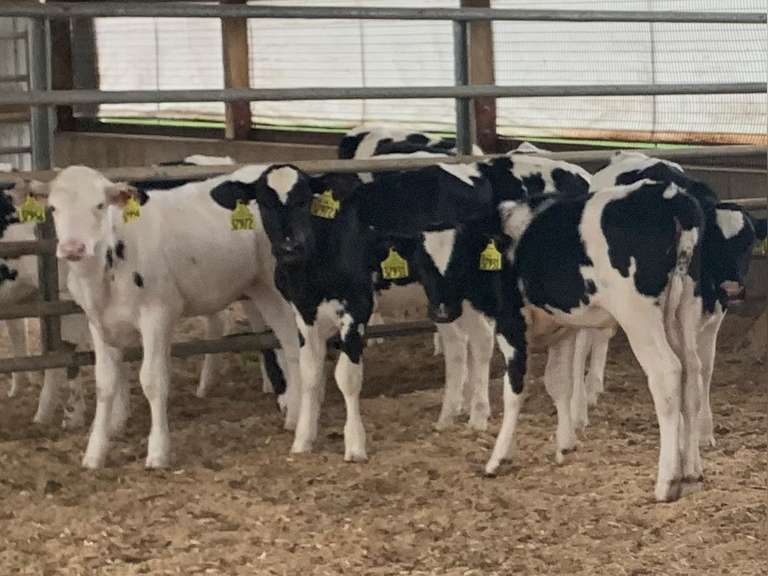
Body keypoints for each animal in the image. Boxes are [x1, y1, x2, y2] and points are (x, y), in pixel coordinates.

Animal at [13, 164, 302, 469]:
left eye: (100, 205)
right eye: (53, 208)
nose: (72, 248)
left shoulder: (157, 315)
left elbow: (152, 380)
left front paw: (158, 451)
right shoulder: (99, 323)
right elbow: (105, 383)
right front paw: (94, 453)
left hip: (282, 288)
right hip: (263, 290)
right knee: (289, 344)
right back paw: (294, 416)